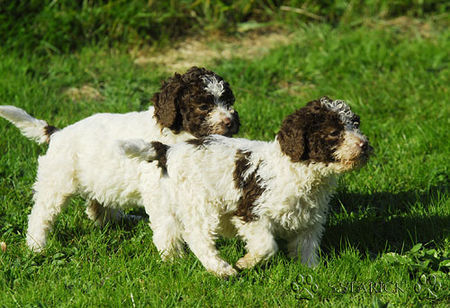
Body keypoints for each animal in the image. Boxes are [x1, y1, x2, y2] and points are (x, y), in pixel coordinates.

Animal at [0, 66, 241, 251]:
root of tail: (57, 133)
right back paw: (36, 246)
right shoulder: (156, 188)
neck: (176, 134)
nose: (230, 122)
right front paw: (172, 257)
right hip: (57, 181)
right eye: (203, 106)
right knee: (41, 214)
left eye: (229, 102)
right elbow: (167, 222)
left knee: (97, 207)